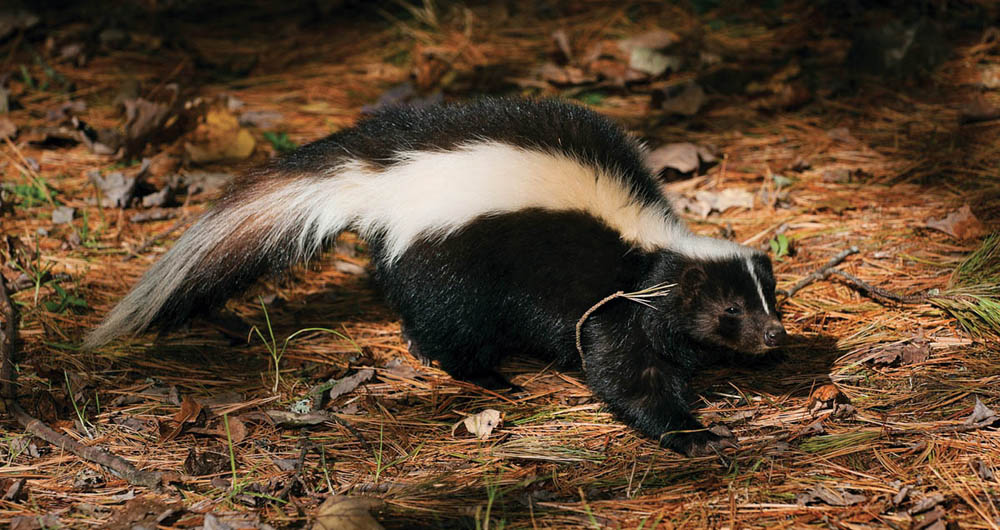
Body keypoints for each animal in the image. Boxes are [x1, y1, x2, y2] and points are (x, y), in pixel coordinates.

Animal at [86, 98, 784, 454]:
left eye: (768, 301)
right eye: (730, 311)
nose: (775, 337)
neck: (649, 247)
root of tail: (377, 172)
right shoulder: (611, 304)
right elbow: (625, 371)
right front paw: (693, 434)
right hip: (451, 261)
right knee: (446, 324)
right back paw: (493, 377)